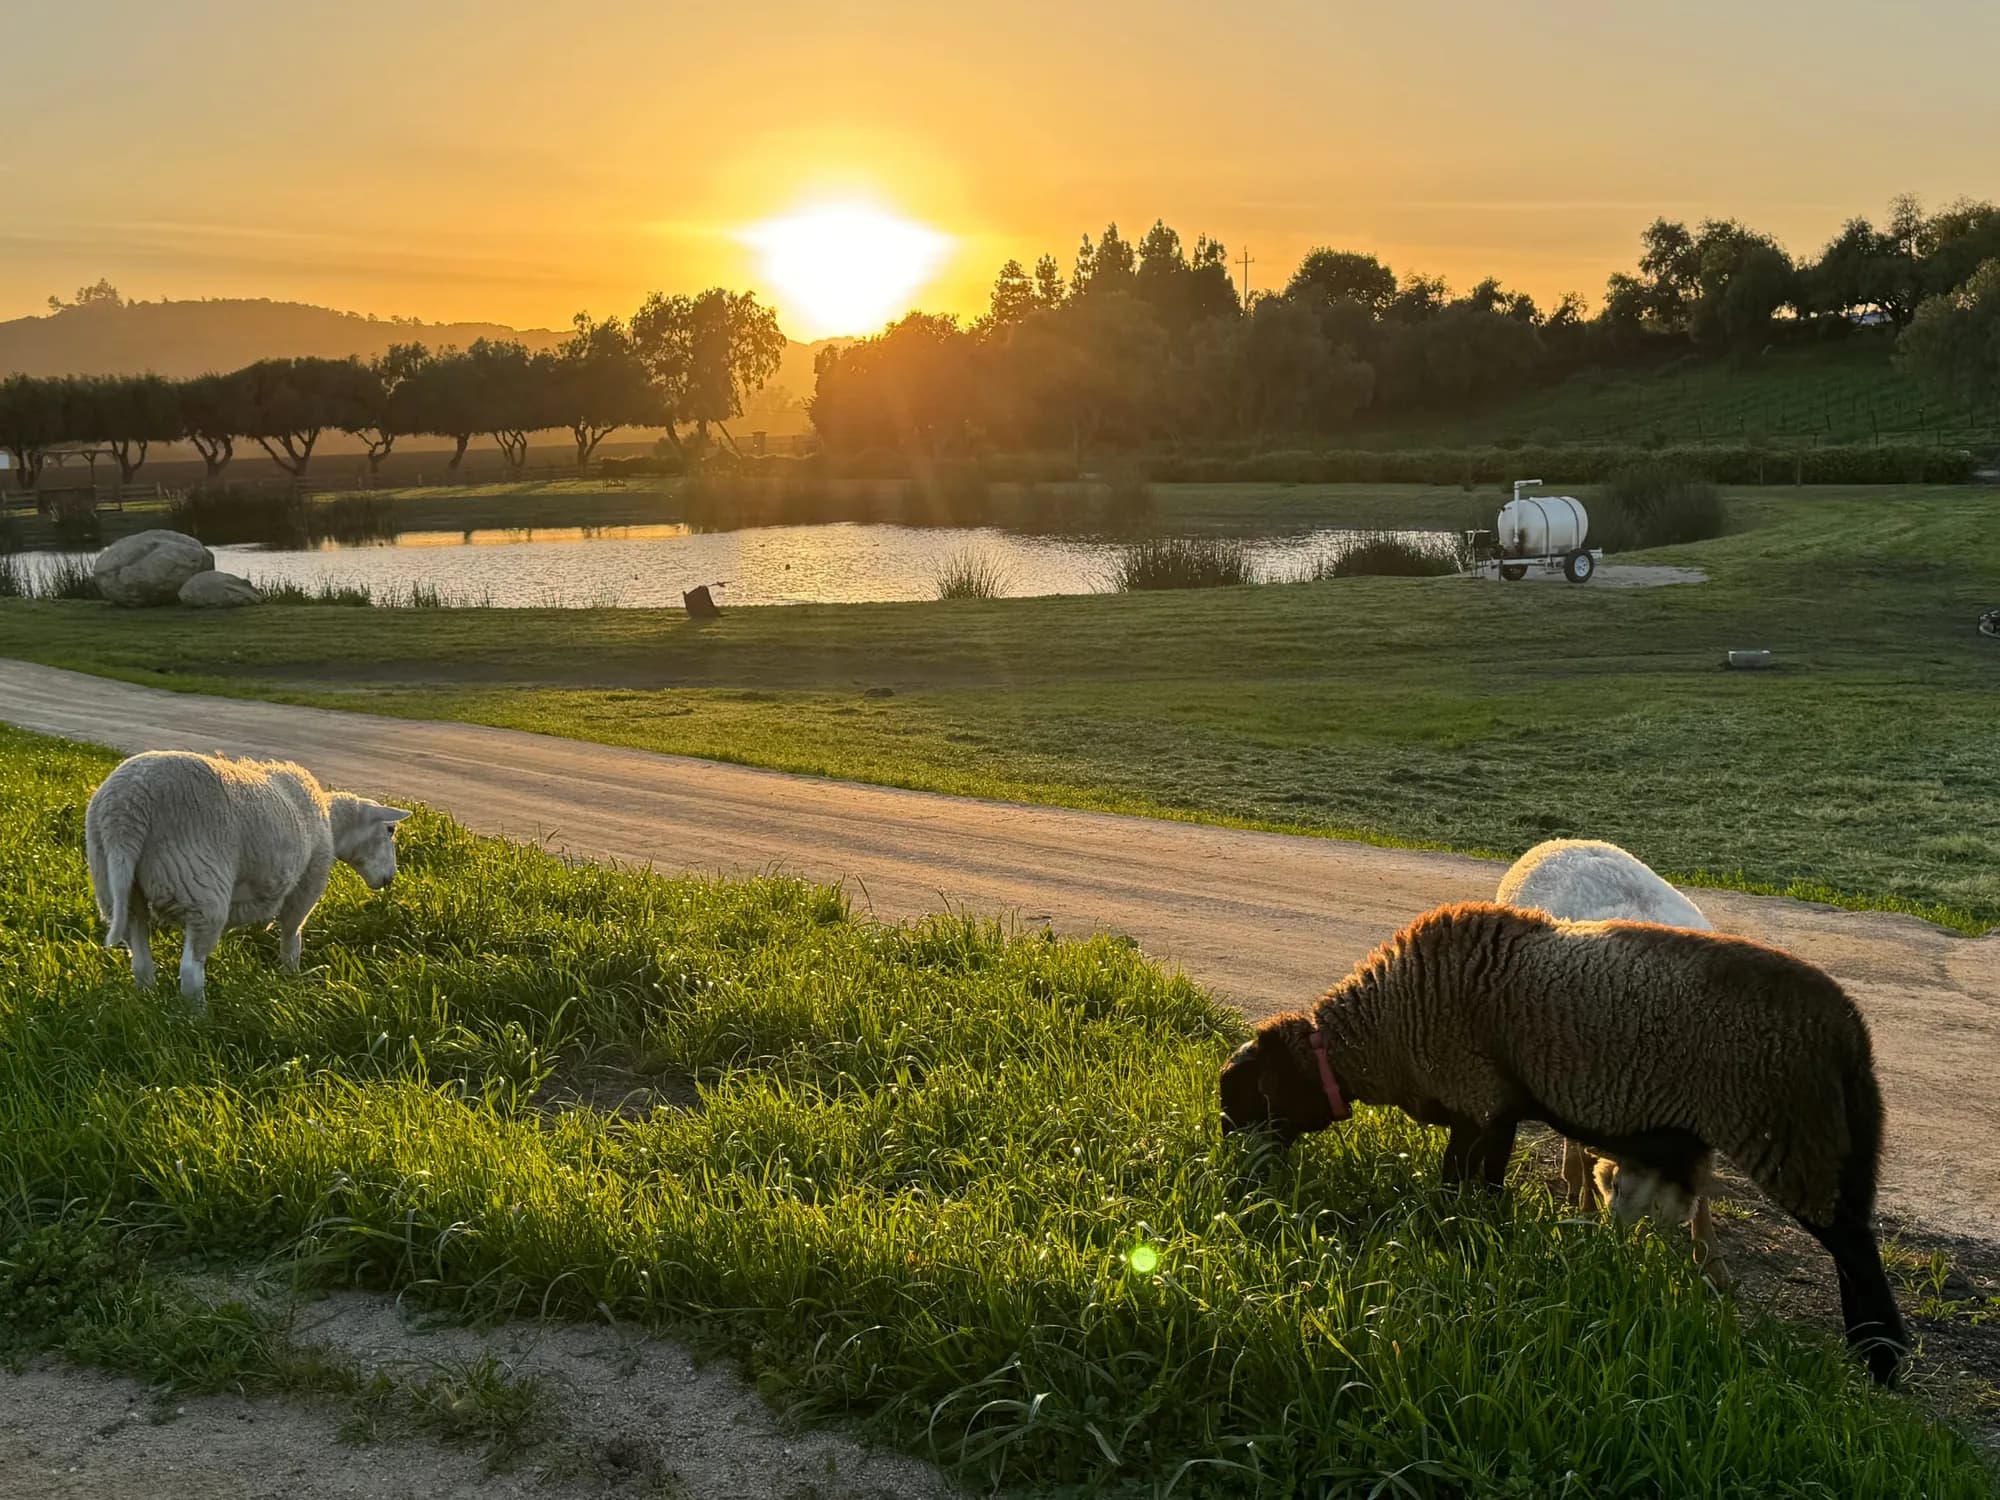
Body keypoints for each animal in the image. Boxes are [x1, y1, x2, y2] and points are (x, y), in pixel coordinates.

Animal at [85, 750, 409, 1012]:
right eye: (390, 830)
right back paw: (199, 1019)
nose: (389, 879)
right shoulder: (307, 882)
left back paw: (148, 1003)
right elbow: (292, 936)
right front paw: (291, 979)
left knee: (140, 961)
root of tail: (123, 812)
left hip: (117, 887)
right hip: (199, 886)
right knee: (190, 971)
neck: (330, 822)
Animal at [1218, 901, 1907, 1385]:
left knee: (1853, 1247)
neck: (1377, 1037)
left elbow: (1460, 1182)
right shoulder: (1494, 1109)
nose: (1238, 1179)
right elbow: (1482, 1185)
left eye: (1250, 1099)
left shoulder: (1477, 1101)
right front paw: (1484, 1239)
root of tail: (1851, 1033)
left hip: (1794, 1141)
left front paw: (1455, 1240)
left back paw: (1879, 1360)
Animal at [1495, 839, 1727, 1286]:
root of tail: (1559, 842)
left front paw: (1710, 1261)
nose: (1615, 1249)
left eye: (1660, 1213)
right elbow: (1588, 1156)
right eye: (1616, 1187)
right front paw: (1585, 1216)